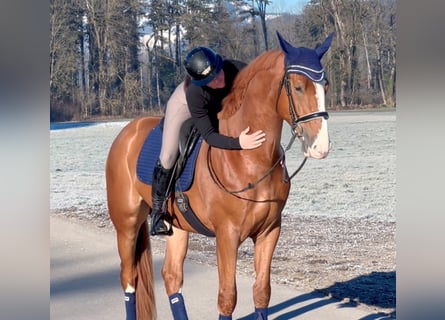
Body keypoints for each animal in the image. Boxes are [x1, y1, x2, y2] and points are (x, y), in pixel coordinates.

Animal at [105, 30, 332, 320]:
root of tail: (127, 132)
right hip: (127, 224)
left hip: (177, 228)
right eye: (298, 87)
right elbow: (227, 297)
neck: (248, 160)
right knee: (129, 279)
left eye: (325, 85)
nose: (320, 146)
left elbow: (262, 292)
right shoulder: (227, 236)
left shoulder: (269, 231)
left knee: (171, 276)